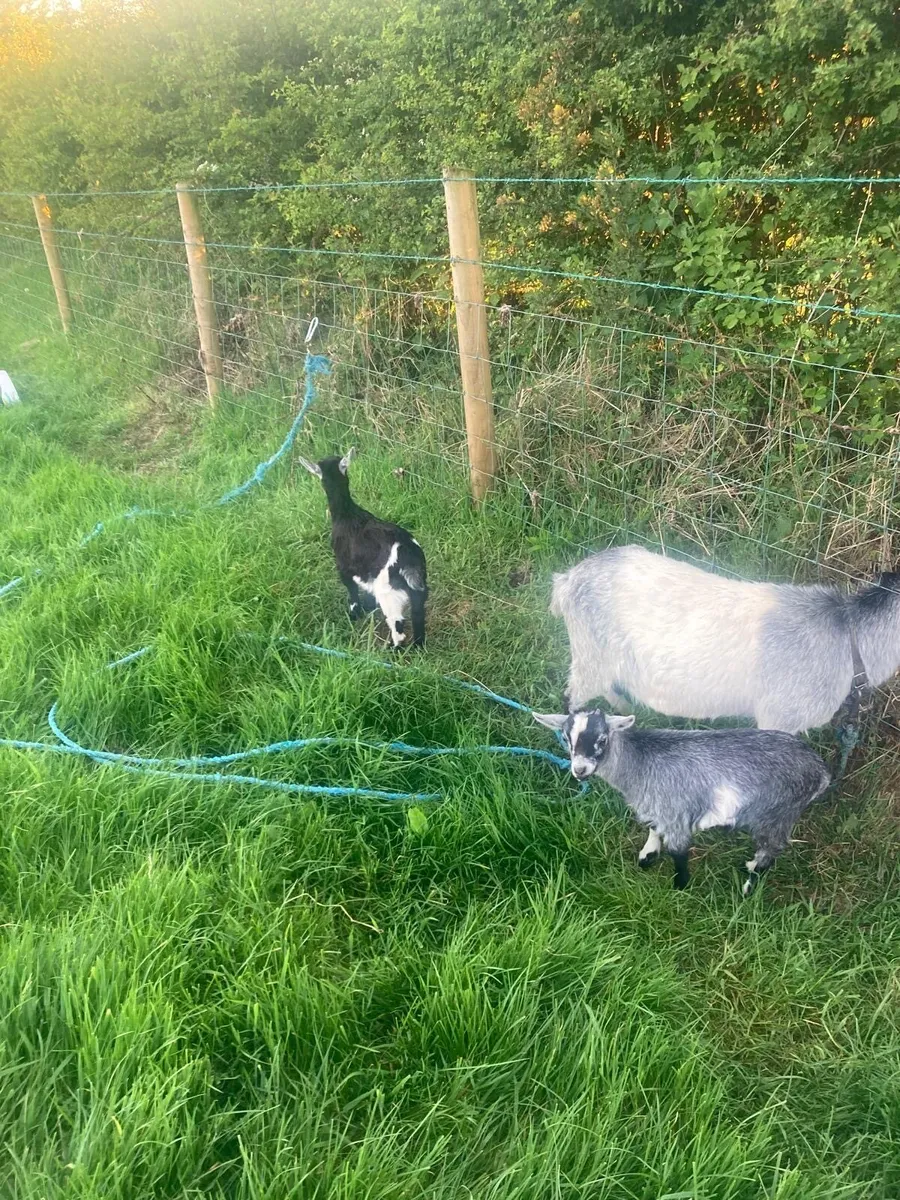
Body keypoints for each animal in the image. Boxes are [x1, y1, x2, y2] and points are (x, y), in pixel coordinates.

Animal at [298, 448, 427, 648]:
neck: (346, 514)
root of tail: (408, 555)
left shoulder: (343, 565)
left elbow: (351, 588)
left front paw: (354, 613)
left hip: (388, 591)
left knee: (397, 623)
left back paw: (393, 648)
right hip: (418, 586)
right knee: (418, 613)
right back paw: (418, 645)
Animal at [534, 709, 830, 893]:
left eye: (602, 739)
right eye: (566, 738)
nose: (579, 770)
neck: (639, 762)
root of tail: (821, 772)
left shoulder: (675, 812)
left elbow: (678, 850)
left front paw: (680, 885)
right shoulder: (657, 807)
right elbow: (653, 829)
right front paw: (648, 855)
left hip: (778, 811)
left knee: (772, 848)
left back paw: (749, 884)